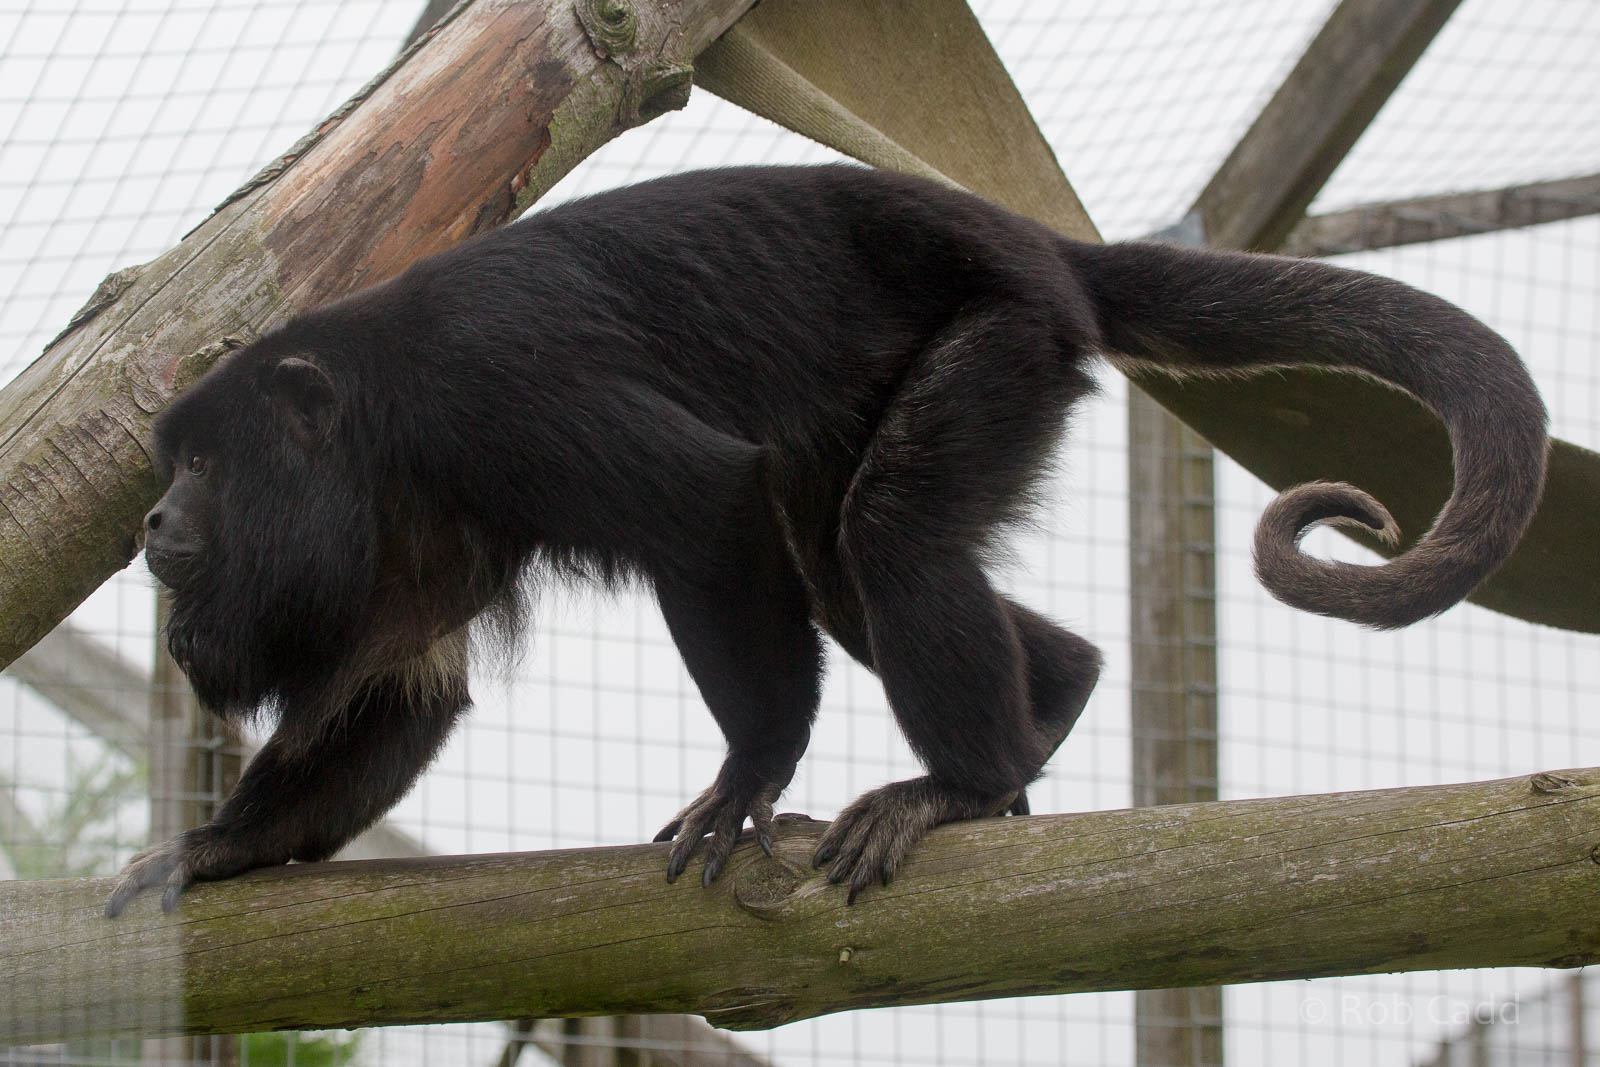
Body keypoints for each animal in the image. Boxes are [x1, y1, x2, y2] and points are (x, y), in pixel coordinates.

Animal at [106, 164, 1548, 915]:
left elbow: (706, 502)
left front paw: (751, 768)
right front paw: (223, 846)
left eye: (203, 463)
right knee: (855, 571)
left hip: (1004, 335)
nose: (152, 519)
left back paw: (961, 778)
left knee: (888, 537)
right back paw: (1053, 698)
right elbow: (404, 692)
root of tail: (1038, 245)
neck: (375, 414)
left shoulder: (495, 389)